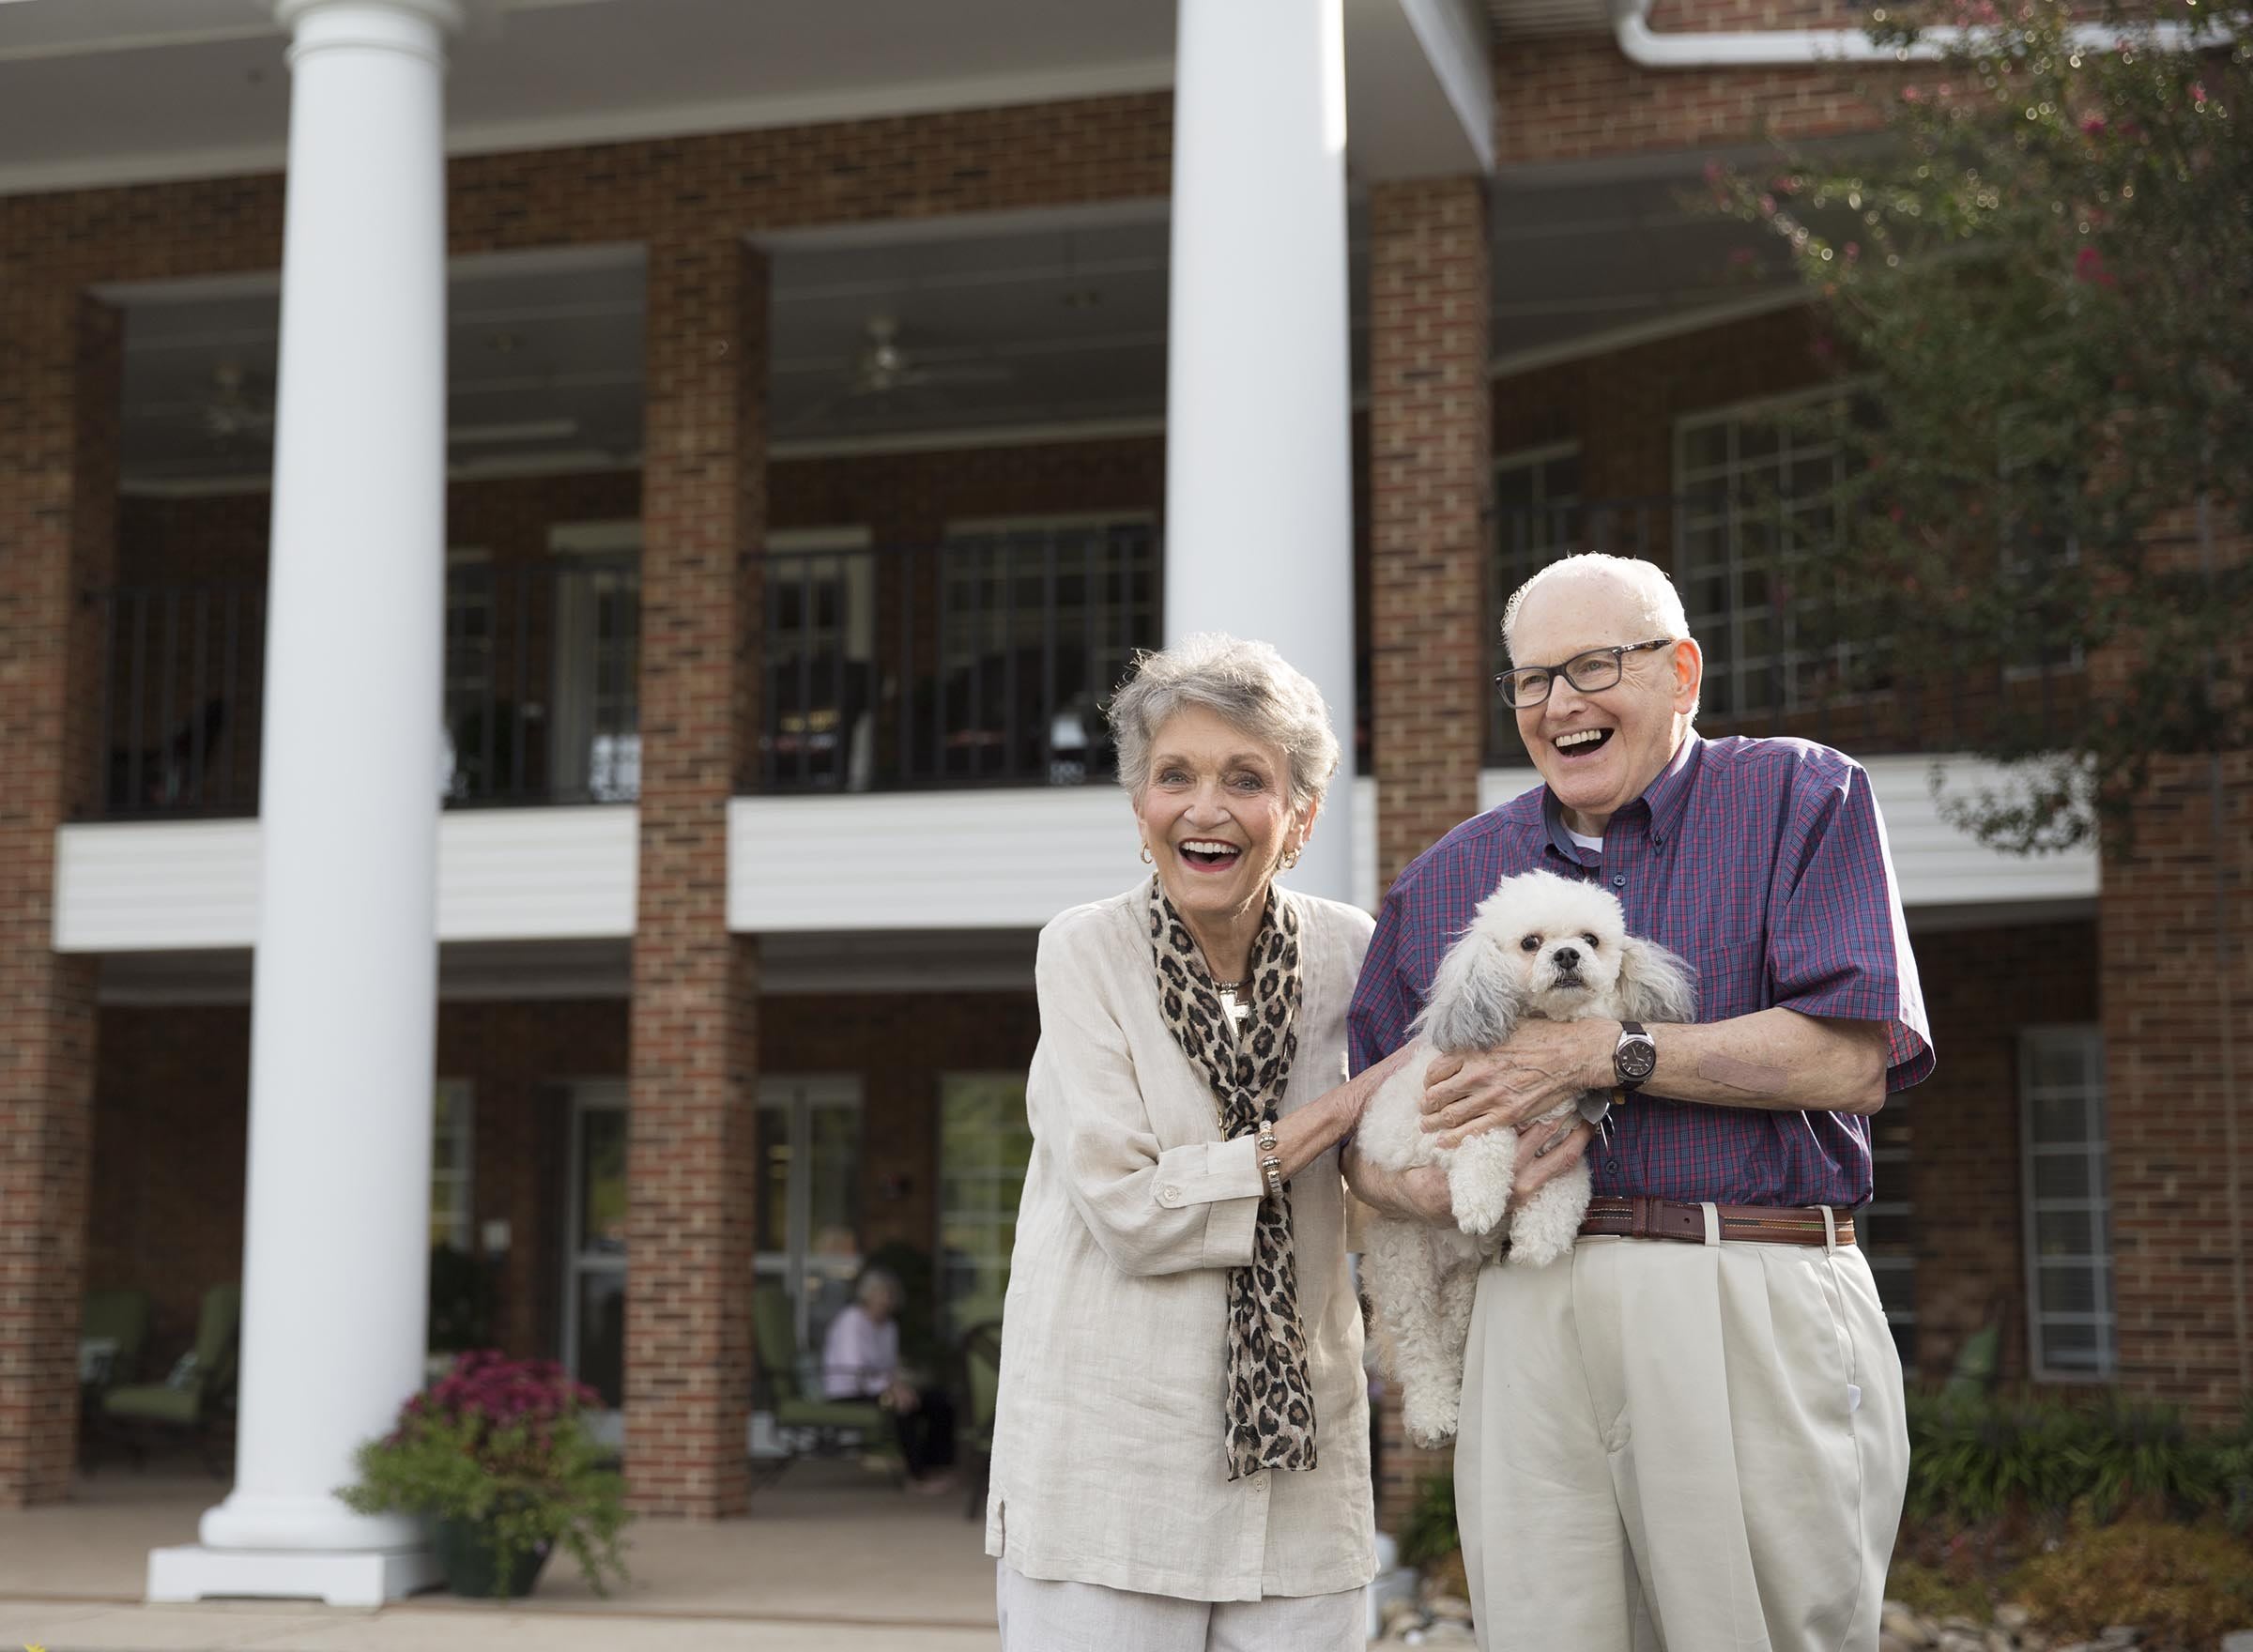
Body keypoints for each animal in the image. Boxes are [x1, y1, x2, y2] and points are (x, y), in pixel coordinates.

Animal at [1352, 865, 1694, 1442]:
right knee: (1420, 1348)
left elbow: (1567, 1187)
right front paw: (1481, 1203)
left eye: (1591, 939)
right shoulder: (1447, 1120)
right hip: (1406, 1267)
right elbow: (1490, 1141)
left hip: (1463, 1293)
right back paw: (1433, 1414)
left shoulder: (1567, 1143)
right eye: (1531, 942)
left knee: (1449, 1341)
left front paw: (1539, 1238)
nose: (1567, 955)